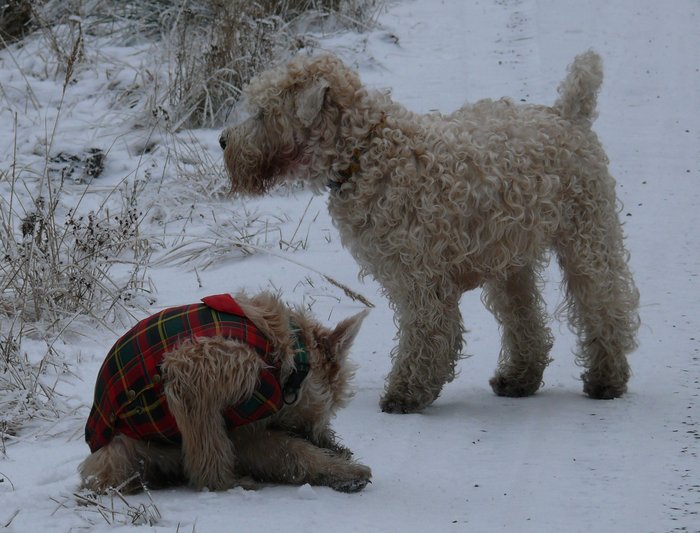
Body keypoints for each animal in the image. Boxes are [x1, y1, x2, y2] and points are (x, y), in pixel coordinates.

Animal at [78, 294, 372, 492]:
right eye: (332, 406)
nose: (329, 441)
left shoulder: (248, 430)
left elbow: (288, 452)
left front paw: (339, 468)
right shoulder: (197, 369)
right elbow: (211, 449)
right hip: (128, 449)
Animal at [220, 51, 640, 412]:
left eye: (263, 112)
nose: (223, 140)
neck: (365, 151)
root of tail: (568, 115)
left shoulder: (419, 277)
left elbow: (426, 335)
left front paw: (406, 393)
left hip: (586, 236)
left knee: (604, 303)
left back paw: (606, 378)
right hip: (511, 258)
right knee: (524, 318)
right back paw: (519, 378)